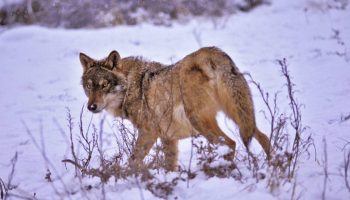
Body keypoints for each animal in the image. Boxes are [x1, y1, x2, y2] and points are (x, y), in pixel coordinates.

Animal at [79, 46, 270, 170]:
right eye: (89, 86)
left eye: (104, 85)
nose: (91, 107)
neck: (132, 86)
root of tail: (209, 53)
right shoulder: (168, 137)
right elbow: (170, 166)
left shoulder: (149, 133)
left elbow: (133, 160)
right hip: (240, 116)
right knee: (263, 137)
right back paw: (272, 167)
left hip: (201, 122)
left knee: (231, 143)